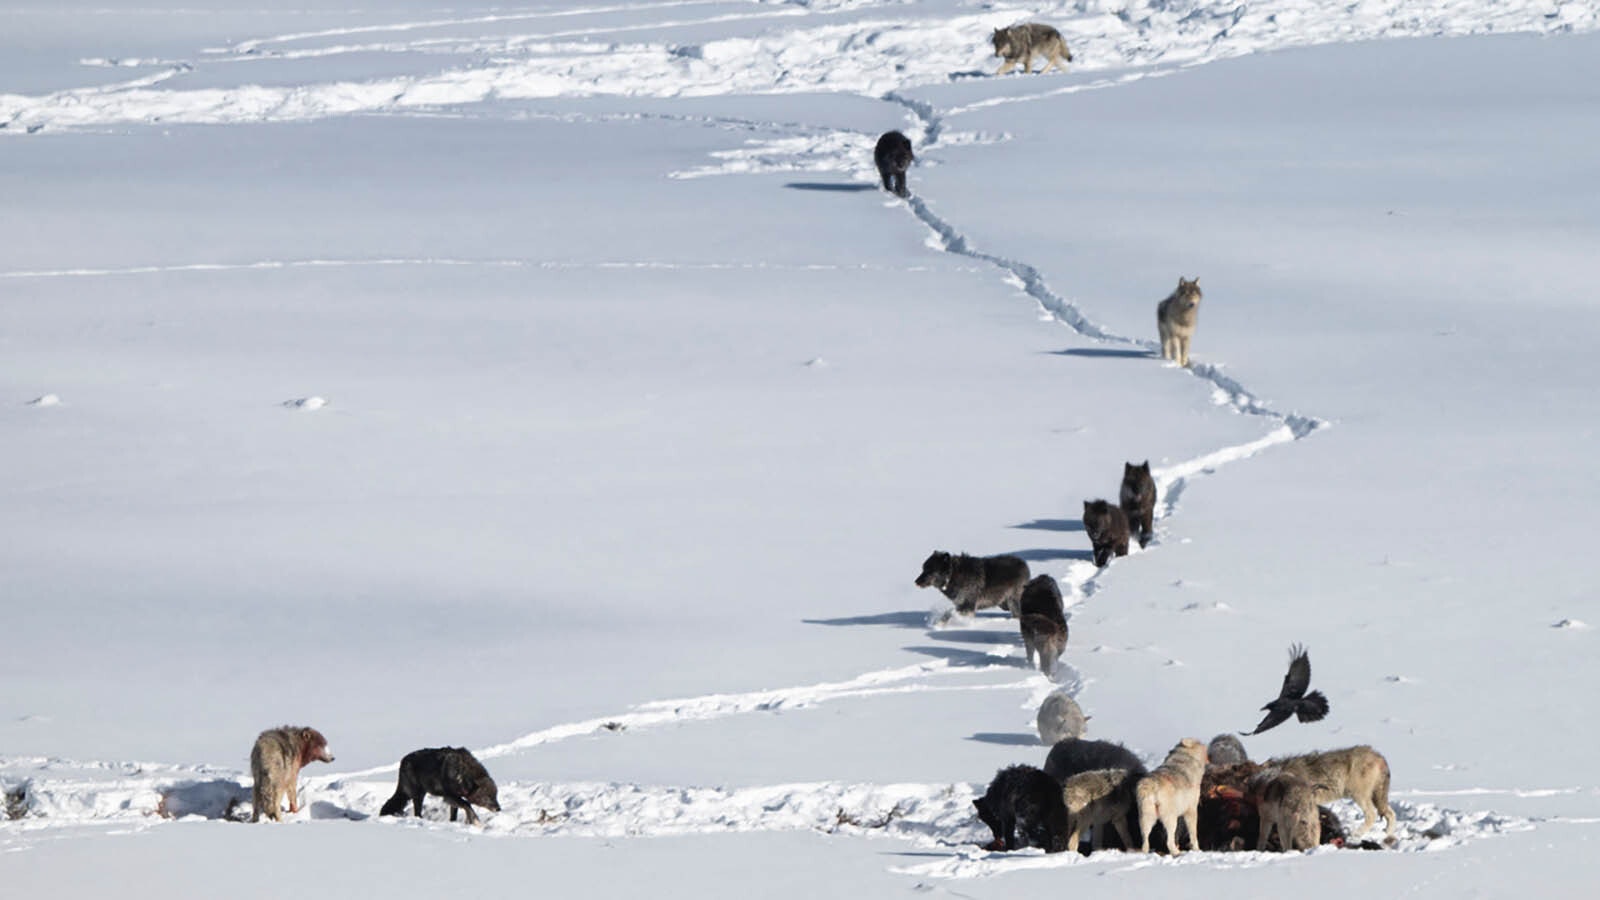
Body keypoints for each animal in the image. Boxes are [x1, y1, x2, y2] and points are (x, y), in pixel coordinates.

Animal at [1267, 743, 1395, 832]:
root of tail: (1379, 757)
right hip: (1377, 798)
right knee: (1391, 814)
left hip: (1358, 795)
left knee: (1371, 815)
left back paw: (1355, 835)